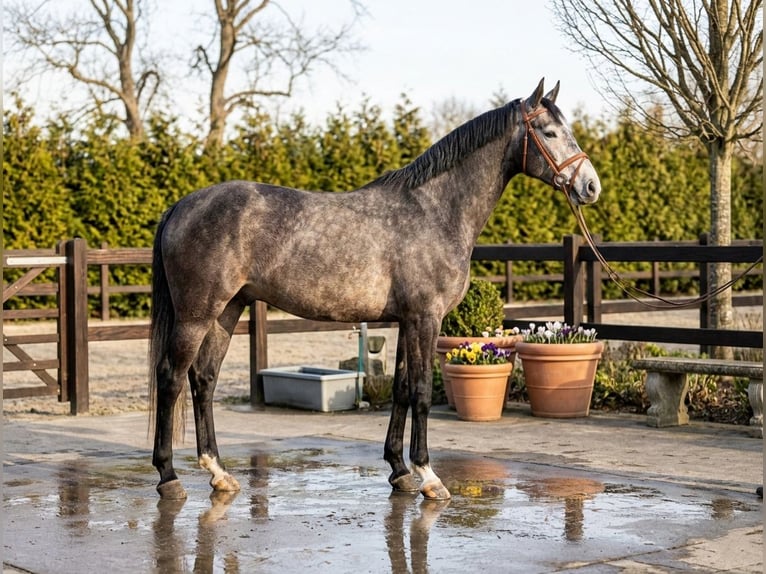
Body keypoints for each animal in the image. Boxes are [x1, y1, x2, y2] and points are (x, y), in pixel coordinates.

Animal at [149, 79, 601, 501]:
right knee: (171, 378)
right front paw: (429, 476)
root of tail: (180, 207)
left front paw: (399, 470)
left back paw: (219, 472)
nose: (591, 186)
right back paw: (169, 477)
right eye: (549, 132)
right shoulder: (426, 318)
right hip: (197, 314)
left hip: (227, 311)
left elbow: (401, 389)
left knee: (204, 380)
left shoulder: (406, 320)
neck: (435, 211)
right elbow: (421, 391)